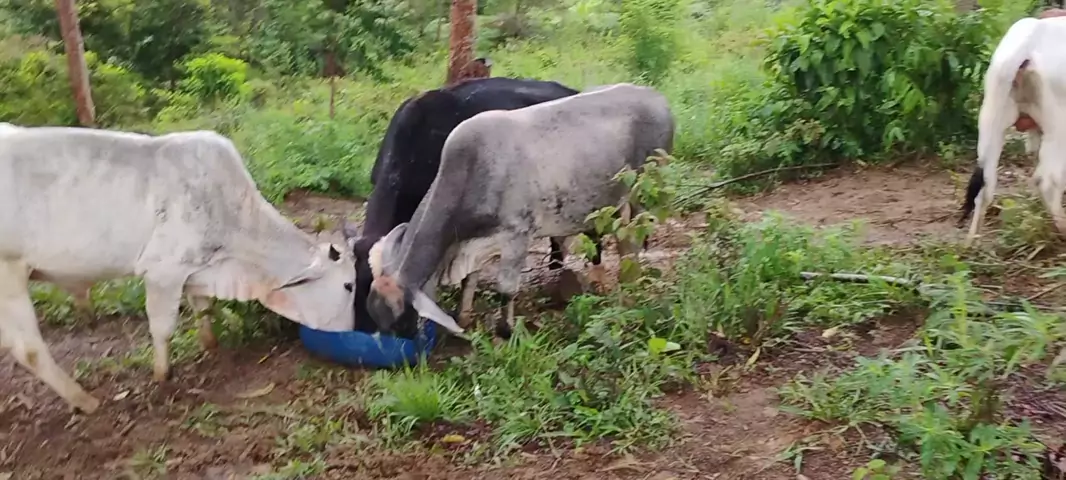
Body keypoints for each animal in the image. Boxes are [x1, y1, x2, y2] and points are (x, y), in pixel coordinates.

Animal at [0, 125, 356, 414]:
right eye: (349, 285)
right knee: (28, 349)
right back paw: (84, 400)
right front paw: (163, 376)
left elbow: (204, 309)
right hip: (10, 274)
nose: (351, 330)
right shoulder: (162, 273)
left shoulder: (195, 270)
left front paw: (211, 347)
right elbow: (163, 328)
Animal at [362, 83, 675, 340]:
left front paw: (505, 332)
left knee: (630, 244)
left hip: (640, 196)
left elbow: (506, 289)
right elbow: (469, 281)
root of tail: (658, 98)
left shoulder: (518, 233)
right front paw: (464, 316)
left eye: (400, 322)